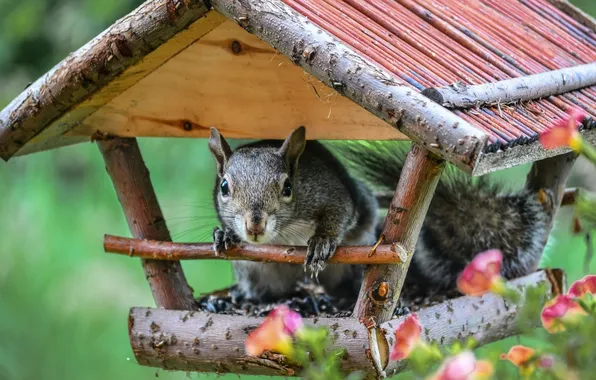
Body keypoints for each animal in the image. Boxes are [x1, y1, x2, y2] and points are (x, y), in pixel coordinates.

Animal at [210, 127, 556, 302]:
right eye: (224, 186)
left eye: (287, 187)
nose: (254, 226)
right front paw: (223, 234)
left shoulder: (331, 193)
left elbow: (338, 214)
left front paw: (321, 242)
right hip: (256, 274)